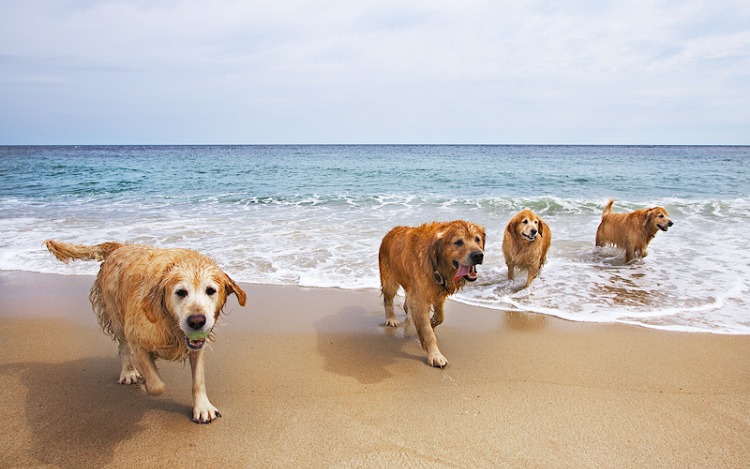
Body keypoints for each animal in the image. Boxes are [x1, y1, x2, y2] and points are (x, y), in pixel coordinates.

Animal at [44, 239, 247, 422]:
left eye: (210, 290)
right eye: (180, 292)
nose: (196, 321)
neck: (168, 321)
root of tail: (119, 247)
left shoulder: (197, 346)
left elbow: (198, 380)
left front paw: (203, 408)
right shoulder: (137, 337)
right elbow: (157, 385)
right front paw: (146, 385)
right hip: (116, 316)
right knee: (123, 347)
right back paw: (129, 373)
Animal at [382, 218, 488, 366]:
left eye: (477, 239)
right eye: (458, 242)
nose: (478, 255)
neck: (436, 262)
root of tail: (392, 230)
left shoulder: (438, 293)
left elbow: (440, 317)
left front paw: (431, 323)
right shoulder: (420, 298)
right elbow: (428, 332)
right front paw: (435, 355)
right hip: (389, 278)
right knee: (388, 298)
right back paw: (391, 318)